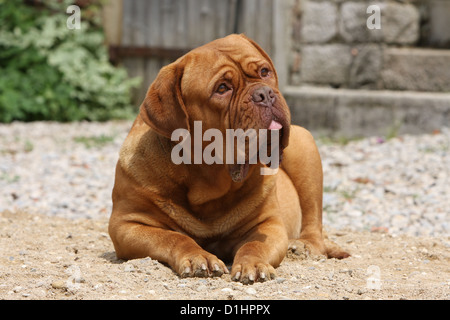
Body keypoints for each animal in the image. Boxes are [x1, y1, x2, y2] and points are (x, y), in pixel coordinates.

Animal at [108, 33, 348, 284]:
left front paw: (254, 264)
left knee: (313, 222)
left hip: (304, 146)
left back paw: (302, 246)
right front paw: (199, 257)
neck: (209, 182)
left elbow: (254, 245)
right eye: (222, 88)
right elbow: (174, 237)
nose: (264, 94)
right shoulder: (127, 225)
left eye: (264, 72)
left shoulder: (268, 224)